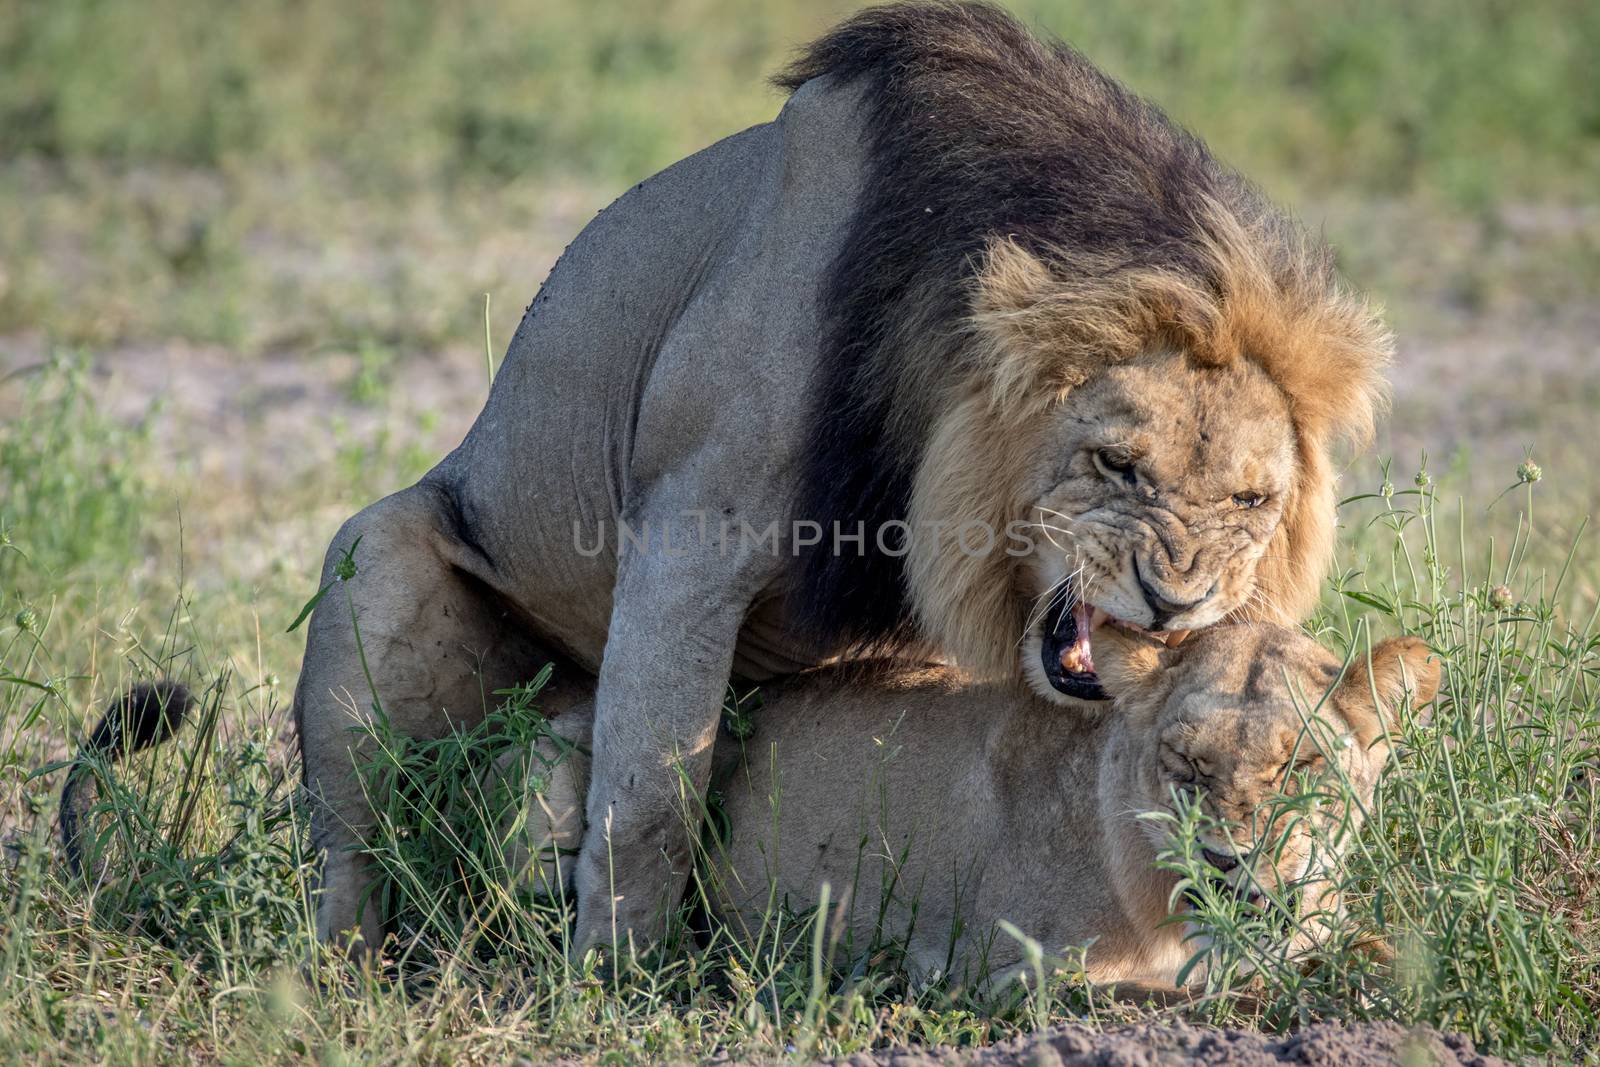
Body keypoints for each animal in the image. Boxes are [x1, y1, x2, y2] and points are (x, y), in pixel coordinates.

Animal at [284, 4, 1388, 953]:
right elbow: (649, 800)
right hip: (373, 562)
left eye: (1251, 501)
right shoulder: (688, 537)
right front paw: (613, 981)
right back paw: (345, 960)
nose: (1176, 603)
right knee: (355, 846)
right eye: (1115, 463)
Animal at [512, 630, 1440, 991]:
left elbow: (1378, 946)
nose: (1227, 859)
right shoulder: (1010, 978)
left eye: (1304, 764)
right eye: (1186, 764)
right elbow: (1178, 997)